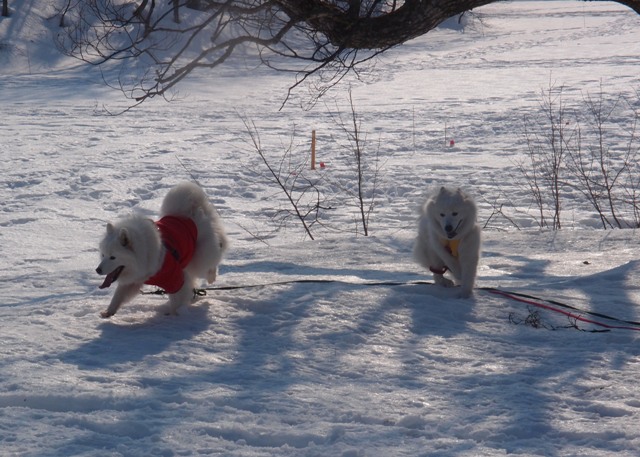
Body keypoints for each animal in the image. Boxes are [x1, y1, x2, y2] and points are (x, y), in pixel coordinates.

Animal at [96, 182, 229, 318]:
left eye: (113, 257)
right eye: (103, 255)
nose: (97, 270)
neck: (146, 254)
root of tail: (191, 212)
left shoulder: (174, 278)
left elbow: (177, 300)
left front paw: (175, 316)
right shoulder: (133, 281)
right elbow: (118, 296)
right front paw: (108, 312)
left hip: (200, 258)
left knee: (212, 262)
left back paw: (211, 277)